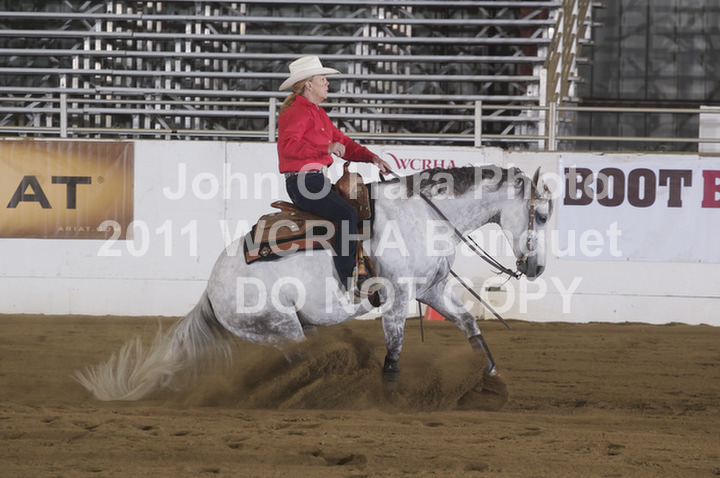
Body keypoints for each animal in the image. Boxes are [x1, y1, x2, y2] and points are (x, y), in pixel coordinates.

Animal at [74, 164, 553, 402]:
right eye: (544, 215)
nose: (536, 269)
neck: (424, 215)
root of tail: (211, 292)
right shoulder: (397, 297)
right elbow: (395, 350)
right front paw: (389, 398)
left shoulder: (431, 289)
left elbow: (471, 327)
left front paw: (492, 381)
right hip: (281, 328)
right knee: (303, 360)